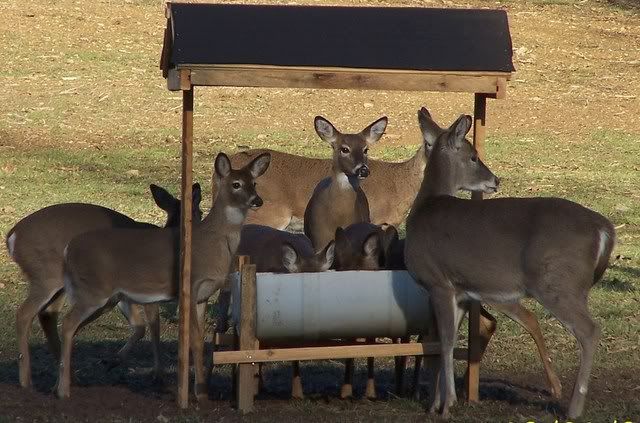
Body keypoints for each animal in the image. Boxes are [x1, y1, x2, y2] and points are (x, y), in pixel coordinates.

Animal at [3, 184, 201, 390]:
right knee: (25, 314)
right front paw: (158, 375)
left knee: (47, 315)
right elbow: (154, 326)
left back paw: (67, 378)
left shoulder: (120, 293)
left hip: (60, 286)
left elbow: (139, 327)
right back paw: (27, 381)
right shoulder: (148, 289)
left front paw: (112, 361)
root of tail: (12, 237)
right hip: (47, 275)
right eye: (200, 211)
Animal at [55, 153, 272, 400]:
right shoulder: (190, 286)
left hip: (104, 297)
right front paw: (199, 393)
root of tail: (68, 250)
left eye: (254, 183)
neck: (211, 241)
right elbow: (193, 340)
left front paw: (201, 389)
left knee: (70, 327)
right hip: (93, 291)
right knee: (68, 323)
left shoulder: (203, 295)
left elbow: (199, 341)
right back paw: (63, 390)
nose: (257, 200)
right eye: (236, 184)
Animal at [404, 114, 616, 420]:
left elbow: (443, 342)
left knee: (590, 330)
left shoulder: (438, 282)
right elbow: (450, 341)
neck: (425, 207)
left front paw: (446, 406)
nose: (495, 179)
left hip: (557, 283)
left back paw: (573, 409)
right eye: (474, 157)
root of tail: (605, 229)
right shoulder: (459, 291)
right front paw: (436, 404)